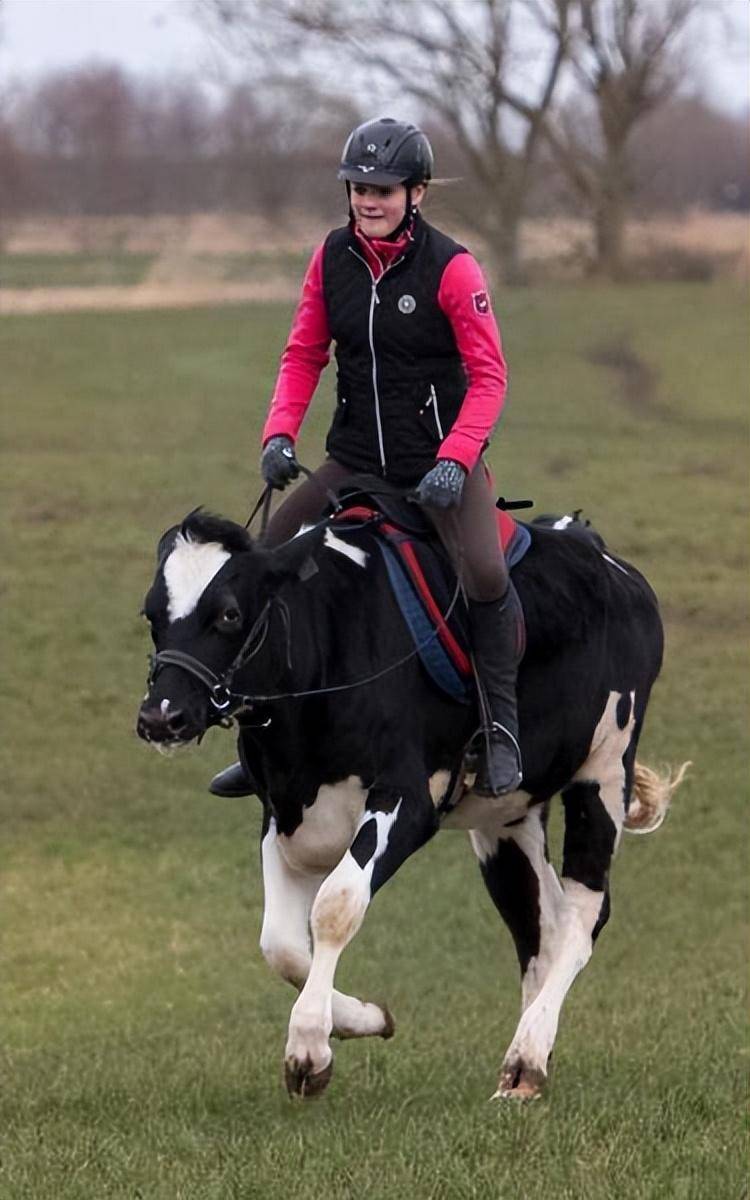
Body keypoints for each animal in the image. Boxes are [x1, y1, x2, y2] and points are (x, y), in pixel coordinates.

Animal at [134, 492, 686, 1099]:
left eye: (229, 613)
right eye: (152, 615)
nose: (161, 716)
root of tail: (607, 559)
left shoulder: (408, 801)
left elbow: (336, 905)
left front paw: (309, 1047)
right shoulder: (281, 809)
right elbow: (280, 943)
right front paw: (364, 1018)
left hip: (603, 771)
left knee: (583, 916)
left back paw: (529, 1056)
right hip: (506, 817)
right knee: (536, 922)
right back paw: (519, 1067)